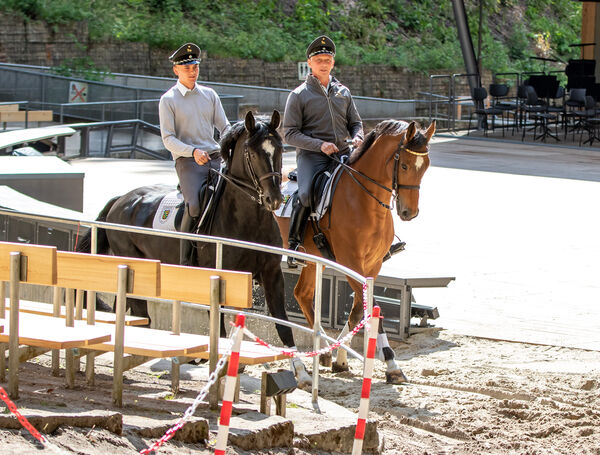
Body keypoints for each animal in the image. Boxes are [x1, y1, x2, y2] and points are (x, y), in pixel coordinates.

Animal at [78, 110, 312, 384]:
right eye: (253, 154)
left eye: (278, 150)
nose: (273, 199)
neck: (247, 220)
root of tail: (120, 200)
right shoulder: (222, 277)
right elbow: (218, 324)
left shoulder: (272, 273)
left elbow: (282, 322)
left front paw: (300, 370)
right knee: (139, 312)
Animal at [274, 119, 434, 382]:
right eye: (405, 165)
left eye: (426, 167)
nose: (409, 212)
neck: (365, 203)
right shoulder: (351, 263)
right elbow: (371, 307)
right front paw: (391, 363)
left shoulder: (372, 265)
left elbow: (361, 309)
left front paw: (340, 358)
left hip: (313, 258)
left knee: (302, 294)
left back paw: (323, 349)